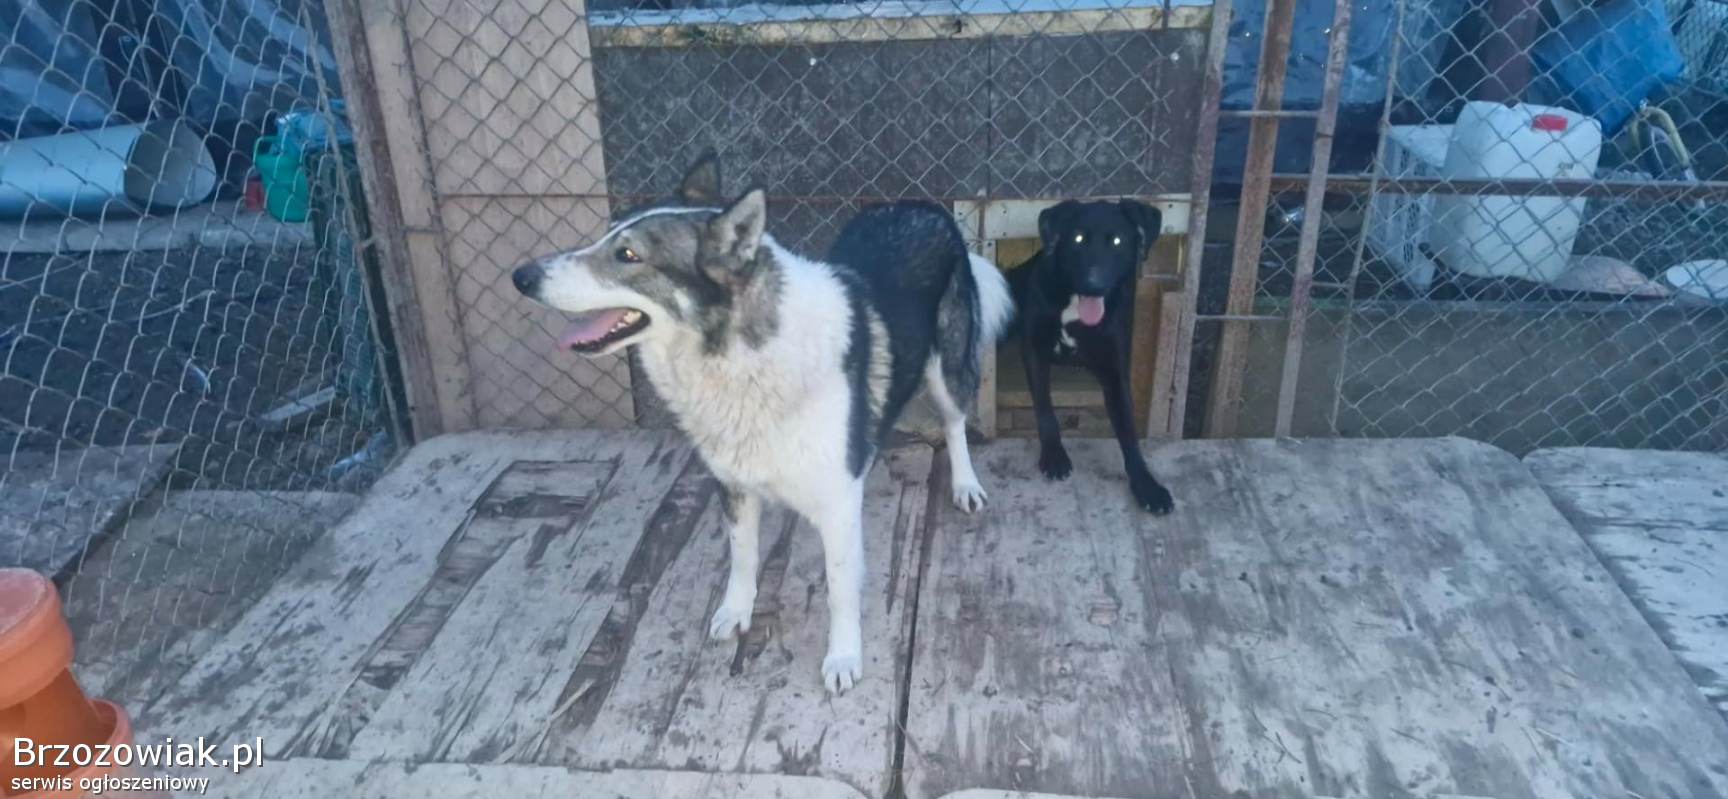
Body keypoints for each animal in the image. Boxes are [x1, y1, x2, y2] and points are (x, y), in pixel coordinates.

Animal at [510, 155, 1012, 692]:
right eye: (606, 235)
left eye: (628, 254)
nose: (521, 276)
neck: (739, 356)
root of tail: (924, 206)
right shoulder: (733, 484)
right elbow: (743, 556)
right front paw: (737, 611)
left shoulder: (837, 505)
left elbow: (840, 586)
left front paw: (843, 655)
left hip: (946, 371)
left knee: (956, 424)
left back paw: (965, 484)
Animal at [1009, 199, 1175, 515]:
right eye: (1077, 239)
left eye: (1118, 241)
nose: (1093, 284)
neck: (1073, 305)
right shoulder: (1033, 349)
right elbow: (1045, 407)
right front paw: (1054, 455)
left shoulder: (1115, 371)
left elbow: (1128, 430)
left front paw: (1146, 485)